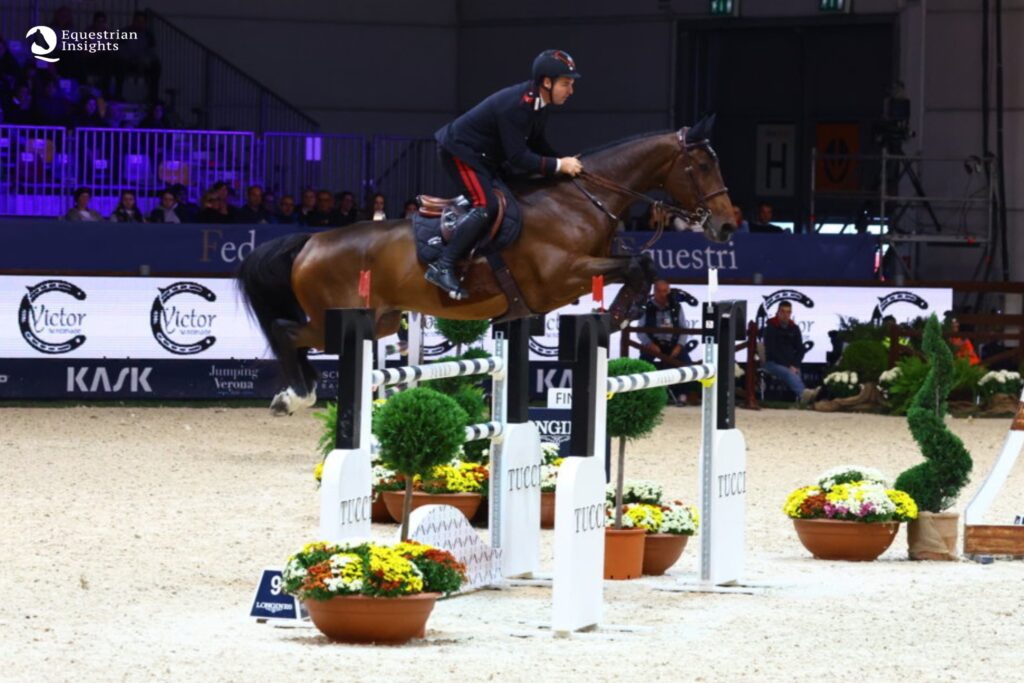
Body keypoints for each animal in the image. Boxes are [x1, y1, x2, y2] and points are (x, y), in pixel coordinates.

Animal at [239, 114, 737, 413]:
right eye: (703, 166)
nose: (729, 225)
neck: (581, 201)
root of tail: (311, 240)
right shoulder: (562, 277)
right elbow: (636, 266)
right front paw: (613, 317)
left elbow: (645, 266)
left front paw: (621, 314)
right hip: (338, 317)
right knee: (287, 332)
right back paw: (295, 396)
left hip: (380, 321)